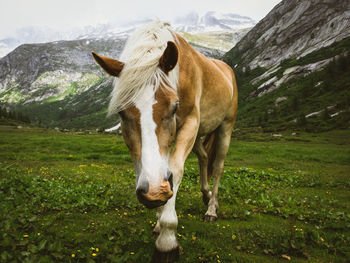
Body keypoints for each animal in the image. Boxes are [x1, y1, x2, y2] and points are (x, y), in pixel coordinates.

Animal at [91, 21, 238, 263]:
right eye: (121, 112)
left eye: (174, 106)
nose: (154, 192)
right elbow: (157, 169)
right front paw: (159, 220)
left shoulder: (190, 123)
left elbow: (175, 171)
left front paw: (167, 240)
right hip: (200, 136)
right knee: (204, 157)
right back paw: (206, 196)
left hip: (226, 127)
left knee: (217, 166)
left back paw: (211, 209)